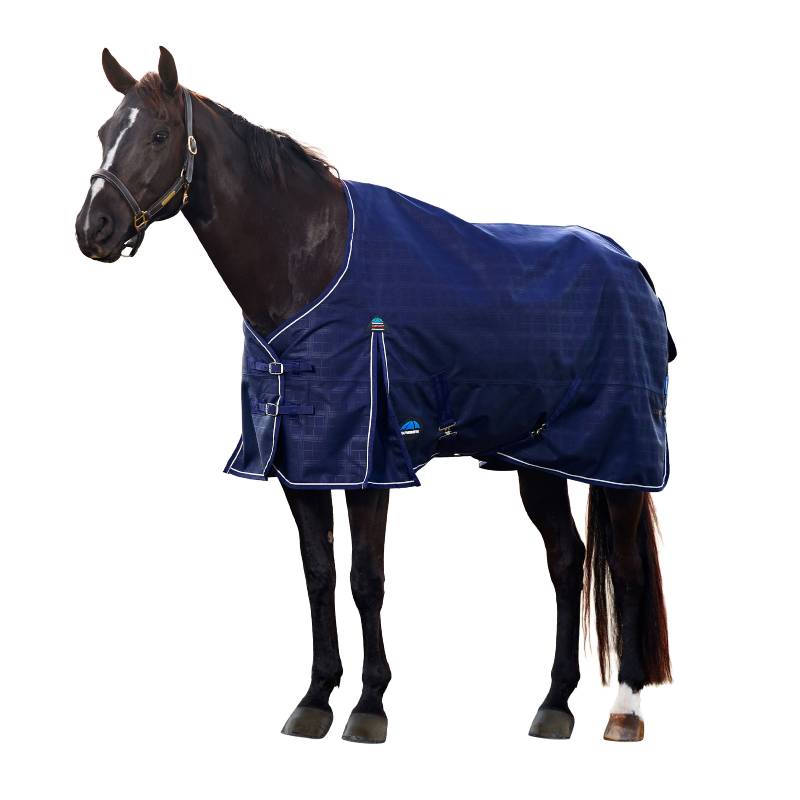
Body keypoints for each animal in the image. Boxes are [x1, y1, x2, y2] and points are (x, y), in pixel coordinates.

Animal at [75, 47, 672, 743]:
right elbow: (320, 574)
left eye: (160, 135)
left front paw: (369, 706)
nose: (93, 228)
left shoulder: (368, 461)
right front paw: (315, 698)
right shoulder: (300, 462)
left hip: (621, 459)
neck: (309, 263)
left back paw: (624, 710)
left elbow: (366, 579)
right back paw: (554, 704)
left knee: (625, 570)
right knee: (567, 562)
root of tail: (630, 266)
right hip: (539, 461)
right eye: (104, 132)